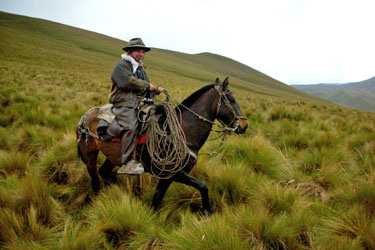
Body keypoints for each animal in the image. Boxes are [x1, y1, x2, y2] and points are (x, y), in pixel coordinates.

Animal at [76, 77, 248, 214]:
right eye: (231, 99)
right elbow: (203, 186)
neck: (182, 131)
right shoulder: (174, 173)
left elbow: (157, 200)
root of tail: (87, 115)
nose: (244, 125)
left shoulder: (167, 177)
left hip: (113, 157)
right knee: (95, 180)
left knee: (104, 172)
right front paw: (208, 212)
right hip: (90, 155)